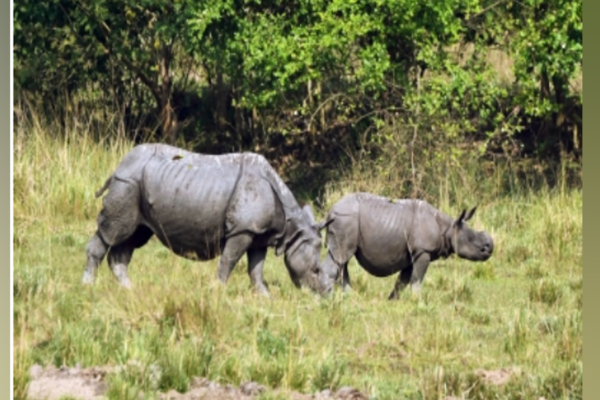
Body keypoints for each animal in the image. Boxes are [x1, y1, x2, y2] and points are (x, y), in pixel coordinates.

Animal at [82, 144, 336, 296]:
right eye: (315, 270)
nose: (327, 293)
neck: (291, 225)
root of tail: (120, 164)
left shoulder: (258, 233)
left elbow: (256, 268)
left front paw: (264, 296)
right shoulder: (242, 230)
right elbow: (229, 261)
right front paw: (218, 291)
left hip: (136, 184)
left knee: (131, 236)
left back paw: (130, 289)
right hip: (127, 183)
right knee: (114, 231)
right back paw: (88, 285)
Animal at [318, 192, 492, 298]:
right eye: (472, 240)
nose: (490, 248)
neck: (448, 228)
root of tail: (330, 210)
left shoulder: (411, 254)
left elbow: (402, 281)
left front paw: (392, 301)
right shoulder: (423, 251)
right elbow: (416, 279)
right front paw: (418, 301)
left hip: (345, 221)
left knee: (341, 261)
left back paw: (350, 296)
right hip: (345, 219)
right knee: (340, 257)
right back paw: (326, 296)